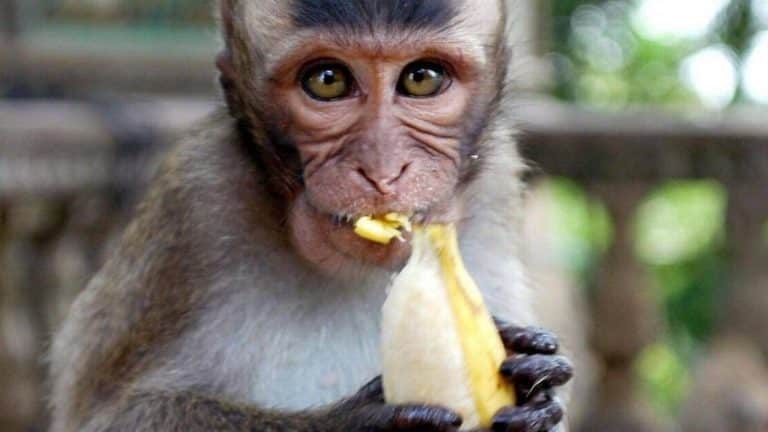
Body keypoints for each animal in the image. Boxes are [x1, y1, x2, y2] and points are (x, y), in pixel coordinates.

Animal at [49, 1, 573, 431]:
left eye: (421, 78)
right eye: (328, 80)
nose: (382, 170)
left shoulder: (498, 184)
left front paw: (536, 379)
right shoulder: (193, 203)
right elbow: (118, 416)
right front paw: (352, 425)